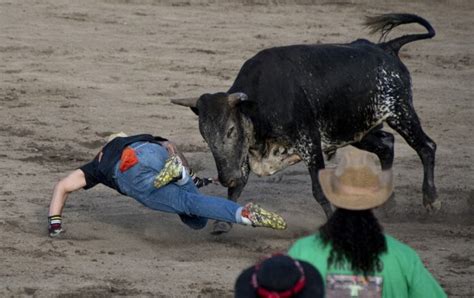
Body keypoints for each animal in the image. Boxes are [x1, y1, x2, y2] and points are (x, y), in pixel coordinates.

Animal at [172, 14, 438, 234]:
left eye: (230, 130)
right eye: (205, 135)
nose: (226, 177)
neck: (259, 104)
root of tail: (385, 48)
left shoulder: (309, 142)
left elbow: (319, 190)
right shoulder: (246, 152)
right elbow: (237, 188)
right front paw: (222, 223)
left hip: (400, 112)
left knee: (426, 147)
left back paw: (431, 200)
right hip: (356, 131)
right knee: (387, 144)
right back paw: (387, 202)